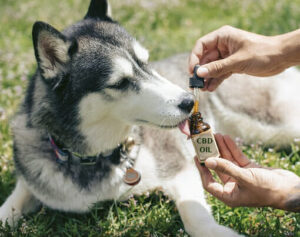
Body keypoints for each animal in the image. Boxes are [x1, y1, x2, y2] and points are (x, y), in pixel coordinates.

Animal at [0, 0, 300, 236]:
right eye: (120, 82)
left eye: (145, 62)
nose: (188, 101)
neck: (96, 157)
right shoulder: (33, 177)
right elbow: (10, 205)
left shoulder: (179, 167)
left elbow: (194, 217)